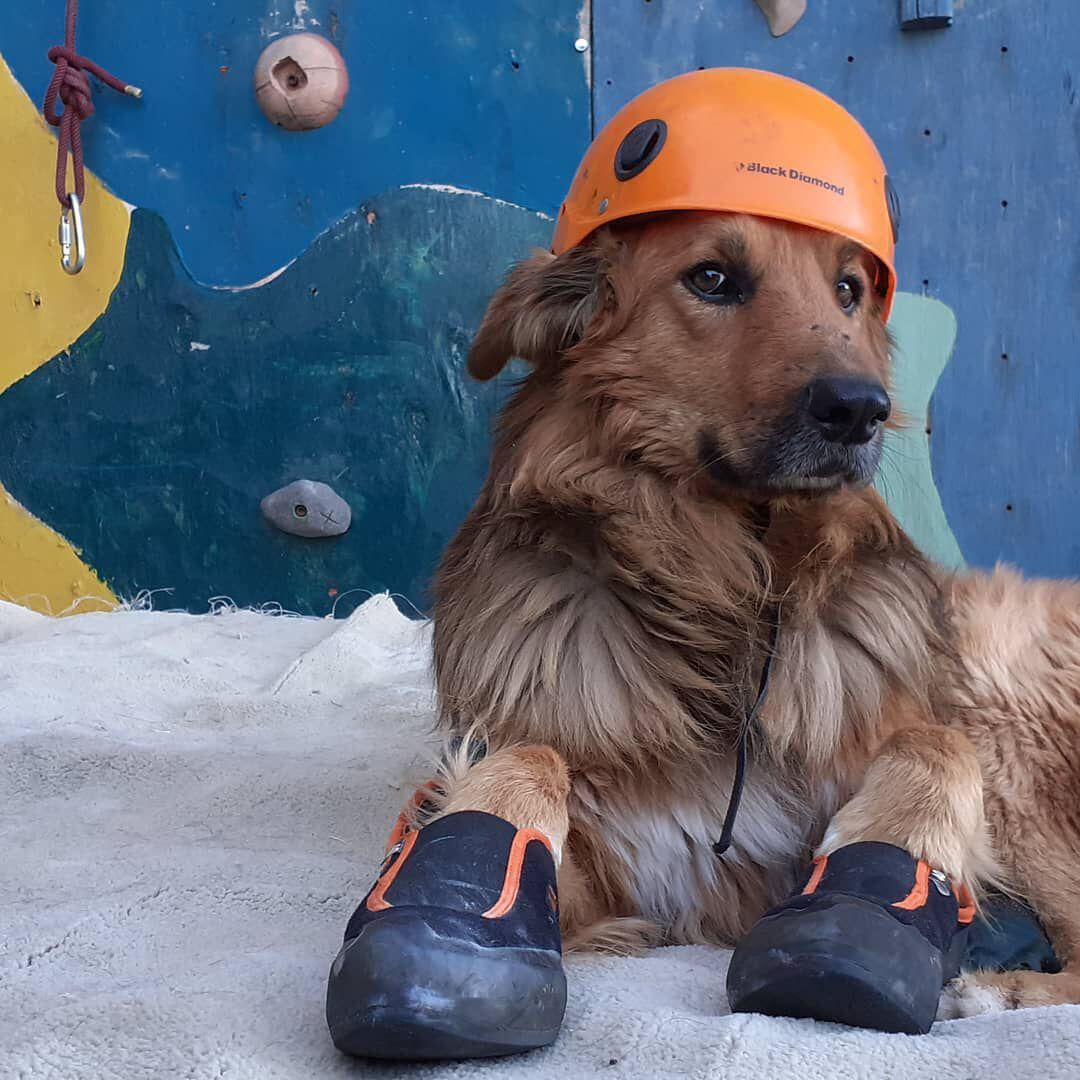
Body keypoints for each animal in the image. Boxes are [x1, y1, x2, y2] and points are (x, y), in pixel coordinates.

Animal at [427, 212, 1080, 1019]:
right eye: (712, 279)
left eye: (848, 290)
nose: (860, 410)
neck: (726, 602)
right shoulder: (608, 868)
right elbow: (528, 767)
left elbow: (931, 746)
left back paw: (1000, 987)